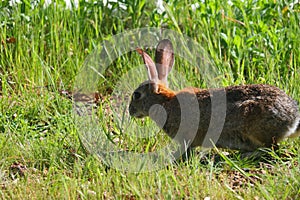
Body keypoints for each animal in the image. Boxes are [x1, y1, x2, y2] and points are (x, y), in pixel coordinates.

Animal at [129, 39, 300, 158]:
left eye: (136, 95)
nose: (130, 111)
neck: (165, 102)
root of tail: (293, 117)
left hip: (256, 125)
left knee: (272, 149)